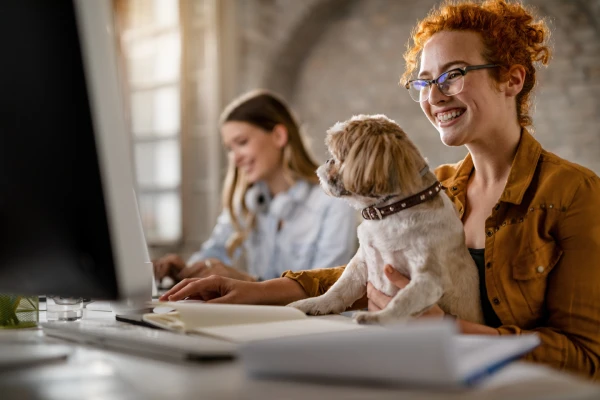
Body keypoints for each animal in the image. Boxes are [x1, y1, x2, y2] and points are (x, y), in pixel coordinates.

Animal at [288, 115, 486, 324]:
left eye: (340, 155)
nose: (328, 160)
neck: (393, 211)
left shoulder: (429, 279)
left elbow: (401, 301)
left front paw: (376, 317)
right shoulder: (361, 263)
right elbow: (340, 288)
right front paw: (313, 303)